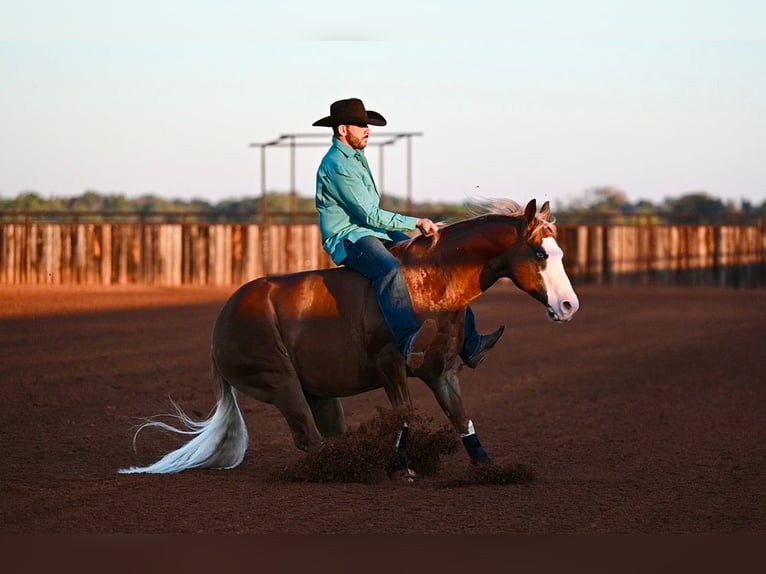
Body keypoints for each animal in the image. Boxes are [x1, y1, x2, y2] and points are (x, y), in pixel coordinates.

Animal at [119, 198, 579, 477]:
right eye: (540, 253)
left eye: (559, 252)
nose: (569, 305)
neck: (429, 285)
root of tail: (222, 323)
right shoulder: (391, 366)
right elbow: (404, 413)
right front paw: (400, 468)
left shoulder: (444, 373)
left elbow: (460, 417)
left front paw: (488, 468)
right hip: (280, 383)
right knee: (308, 438)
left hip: (319, 394)